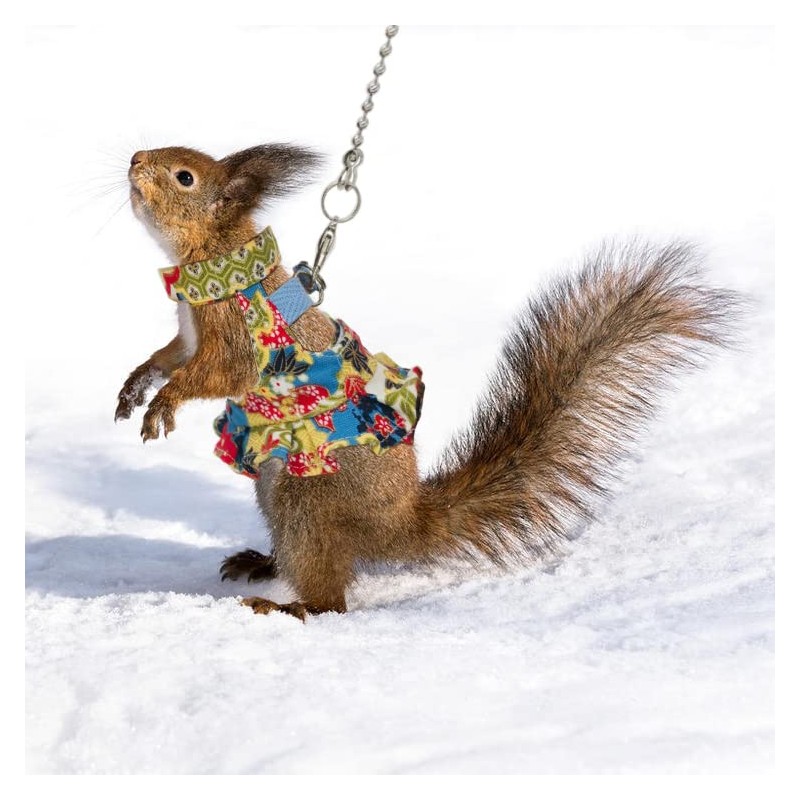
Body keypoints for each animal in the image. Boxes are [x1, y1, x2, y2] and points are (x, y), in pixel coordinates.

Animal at [116, 142, 735, 621]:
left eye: (184, 177)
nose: (136, 160)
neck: (217, 264)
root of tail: (399, 522)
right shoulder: (187, 336)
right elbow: (168, 357)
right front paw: (136, 386)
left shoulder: (234, 341)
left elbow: (215, 374)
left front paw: (163, 404)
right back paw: (262, 564)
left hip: (305, 498)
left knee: (331, 597)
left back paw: (287, 605)